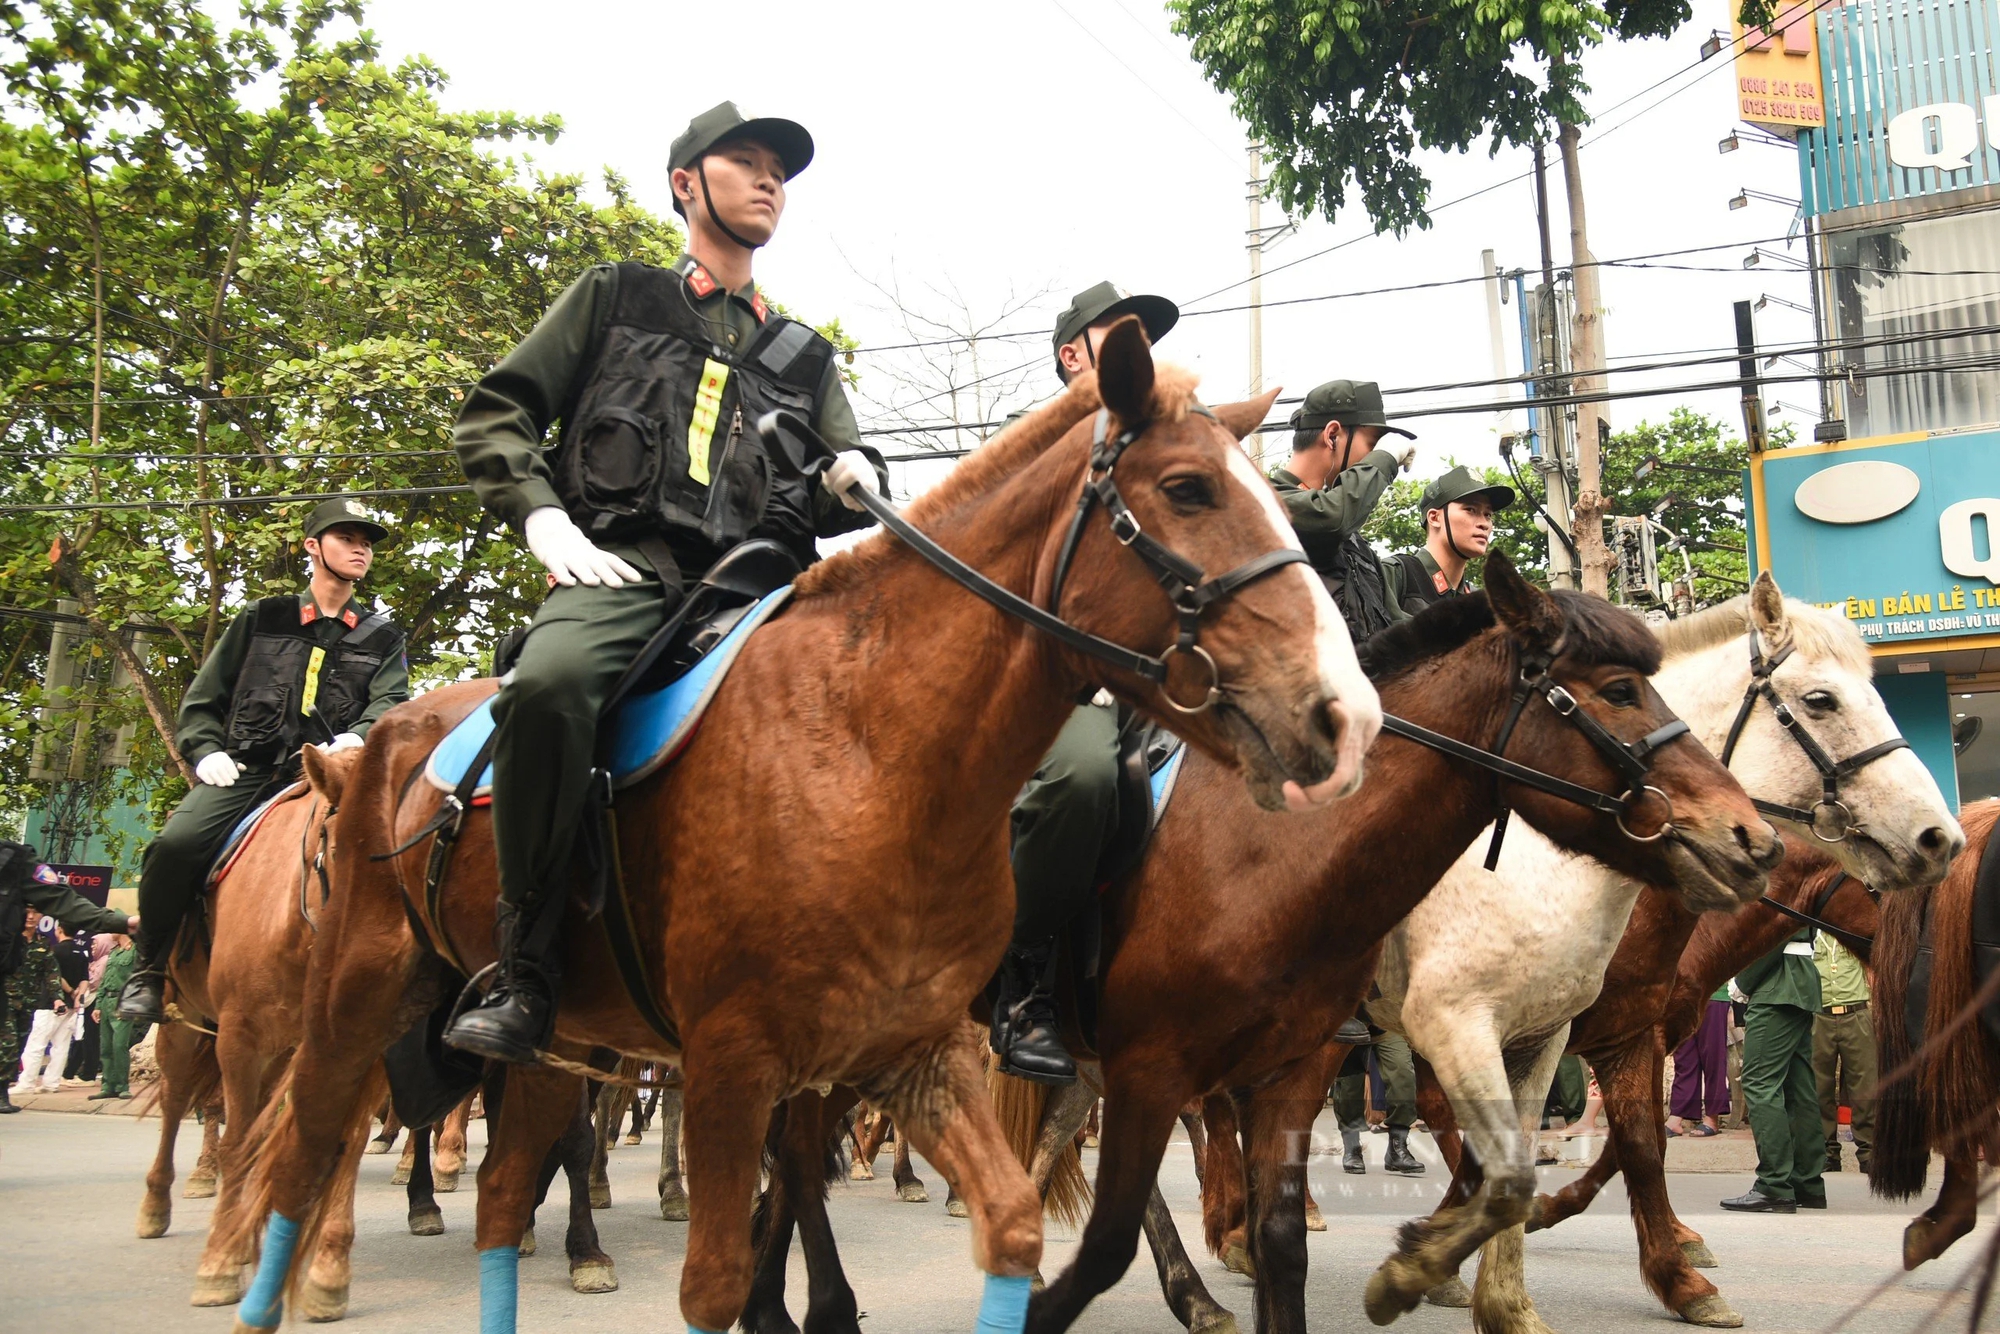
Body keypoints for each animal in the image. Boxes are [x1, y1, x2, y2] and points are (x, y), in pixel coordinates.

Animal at [219, 320, 1376, 1334]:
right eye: (1187, 489)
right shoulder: (736, 1065)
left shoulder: (917, 1052)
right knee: (296, 1161)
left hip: (555, 1046)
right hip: (354, 1002)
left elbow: (1009, 1227)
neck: (875, 749)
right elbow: (718, 1283)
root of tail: (373, 748)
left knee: (503, 1201)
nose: (1346, 717)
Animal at [1368, 576, 1960, 1334]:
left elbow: (1642, 1143)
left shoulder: (1624, 1033)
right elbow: (1632, 1146)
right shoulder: (1553, 1031)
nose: (1940, 839)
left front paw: (1669, 1260)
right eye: (1821, 700)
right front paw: (1667, 1270)